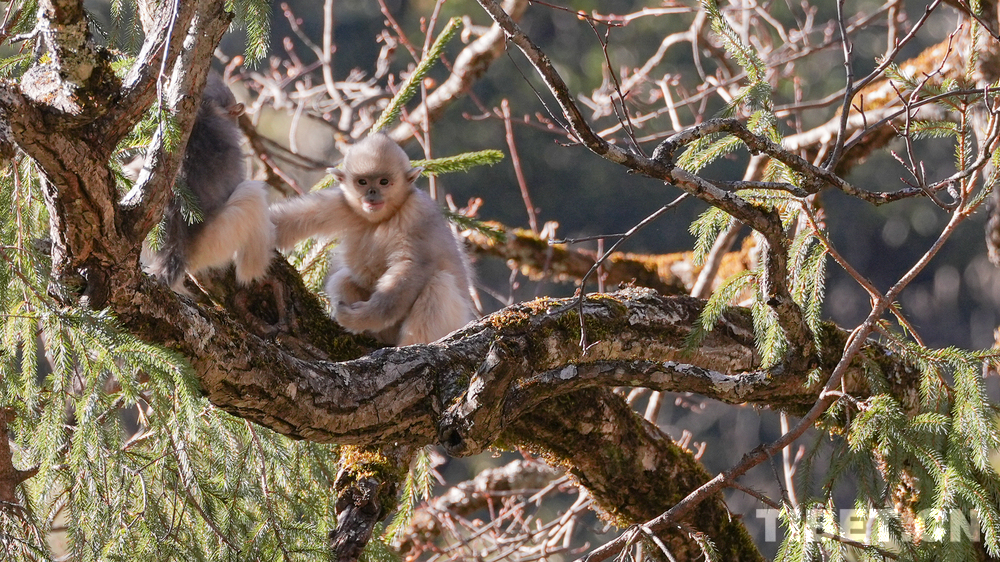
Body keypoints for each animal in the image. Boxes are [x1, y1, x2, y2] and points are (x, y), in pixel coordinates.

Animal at [272, 133, 474, 344]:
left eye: (383, 182)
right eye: (362, 182)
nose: (372, 193)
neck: (381, 219)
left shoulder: (417, 212)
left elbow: (412, 266)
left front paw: (360, 318)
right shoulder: (341, 204)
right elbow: (295, 219)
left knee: (439, 284)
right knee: (344, 279)